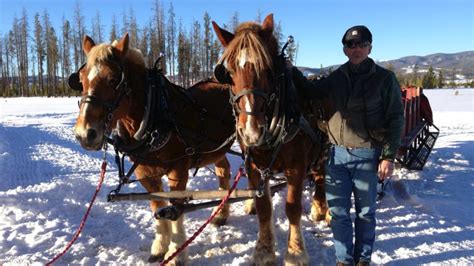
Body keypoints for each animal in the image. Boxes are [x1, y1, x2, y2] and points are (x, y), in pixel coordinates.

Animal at [72, 33, 235, 264]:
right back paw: (221, 213)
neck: (156, 116)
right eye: (82, 79)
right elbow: (158, 207)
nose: (85, 134)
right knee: (224, 169)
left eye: (113, 80)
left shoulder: (178, 171)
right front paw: (159, 248)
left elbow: (175, 210)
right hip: (216, 150)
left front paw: (176, 254)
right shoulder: (146, 173)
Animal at [213, 14, 328, 264]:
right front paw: (264, 250)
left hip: (324, 149)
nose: (250, 131)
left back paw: (321, 208)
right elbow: (264, 207)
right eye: (229, 72)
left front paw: (295, 252)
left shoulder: (296, 166)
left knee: (321, 176)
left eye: (267, 70)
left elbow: (293, 208)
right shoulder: (254, 166)